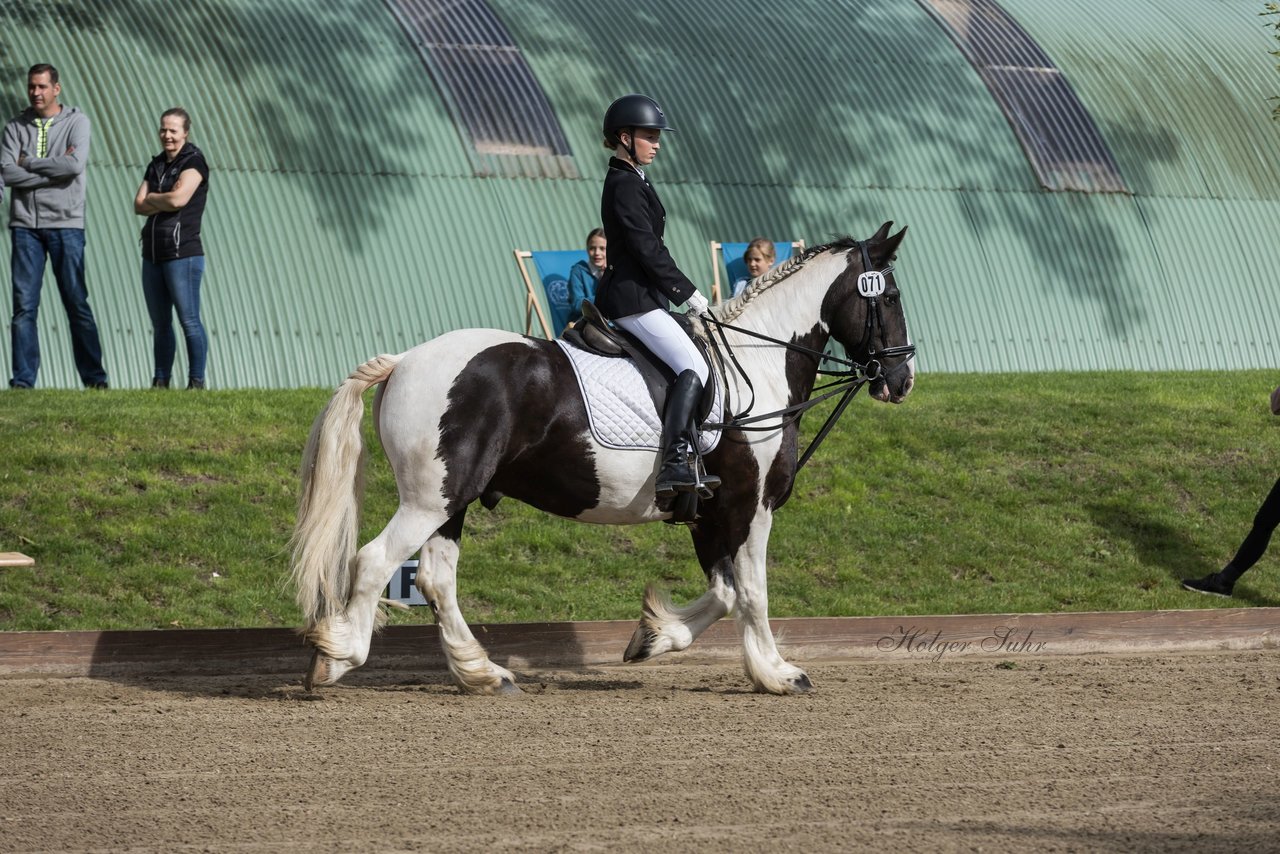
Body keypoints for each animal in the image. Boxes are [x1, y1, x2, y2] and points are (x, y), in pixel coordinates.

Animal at [293, 224, 911, 696]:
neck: (756, 362)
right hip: (430, 499)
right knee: (375, 562)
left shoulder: (707, 511)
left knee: (436, 580)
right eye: (888, 298)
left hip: (450, 500)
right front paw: (777, 673)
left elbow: (726, 591)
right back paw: (337, 657)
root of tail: (404, 360)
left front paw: (654, 637)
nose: (901, 380)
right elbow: (752, 591)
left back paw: (484, 673)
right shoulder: (748, 507)